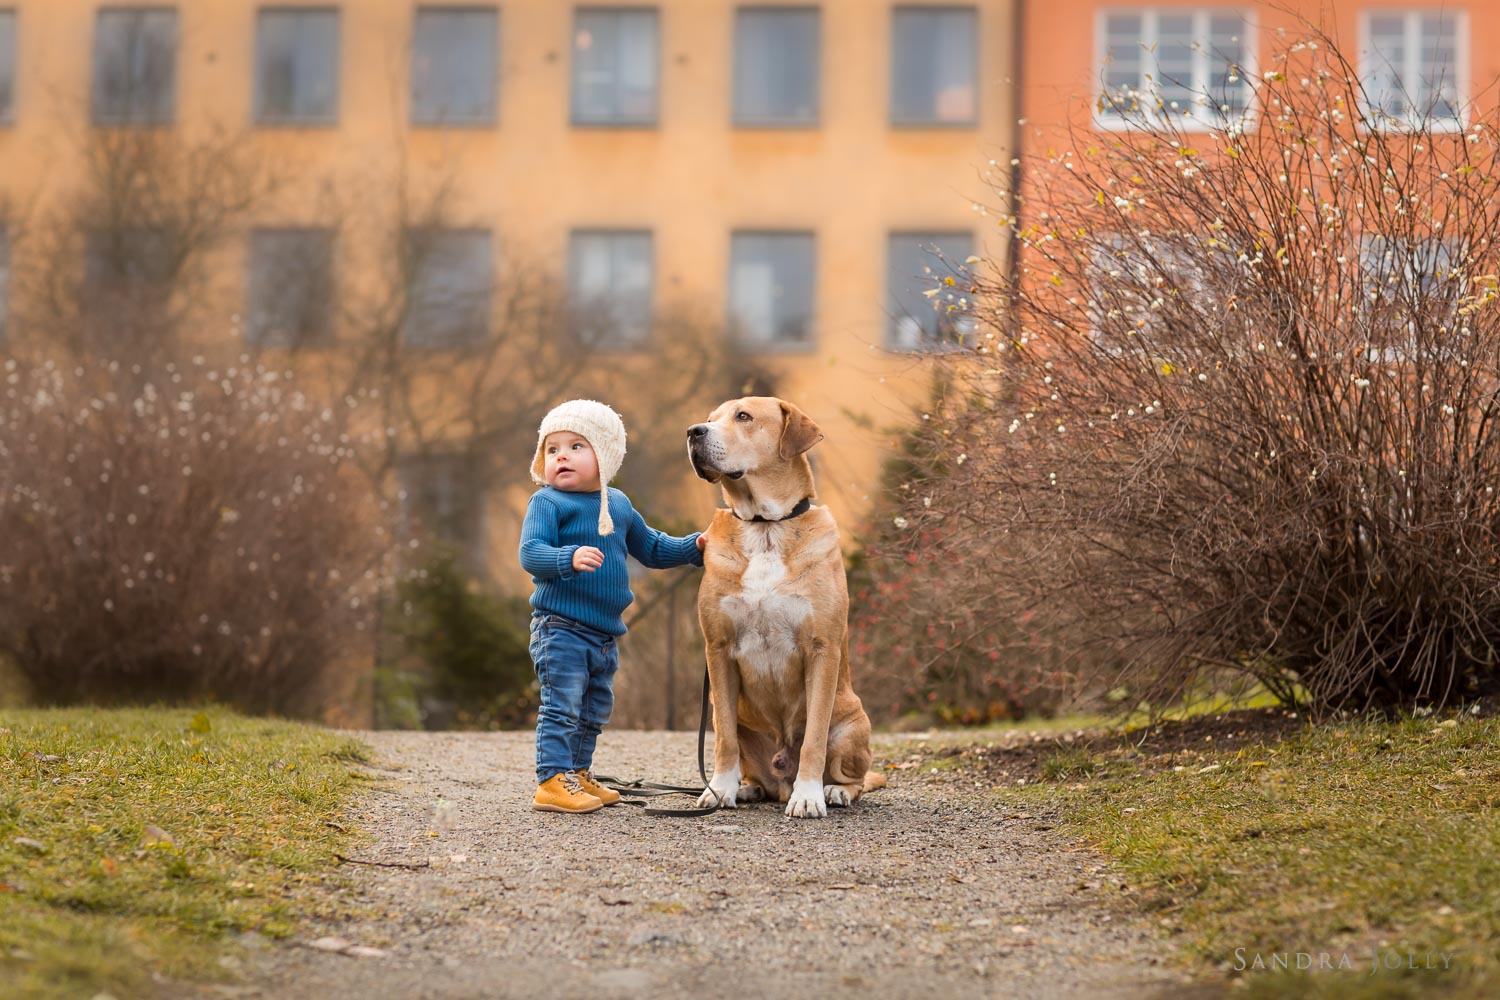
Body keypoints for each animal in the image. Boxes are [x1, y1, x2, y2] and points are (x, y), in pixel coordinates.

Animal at [687, 395, 882, 815]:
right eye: (710, 418)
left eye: (744, 416)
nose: (694, 432)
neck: (765, 528)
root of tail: (780, 776)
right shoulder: (719, 650)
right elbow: (724, 741)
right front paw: (719, 789)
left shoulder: (821, 649)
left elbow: (814, 739)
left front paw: (808, 796)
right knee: (749, 762)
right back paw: (748, 788)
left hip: (854, 724)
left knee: (856, 778)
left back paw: (834, 791)